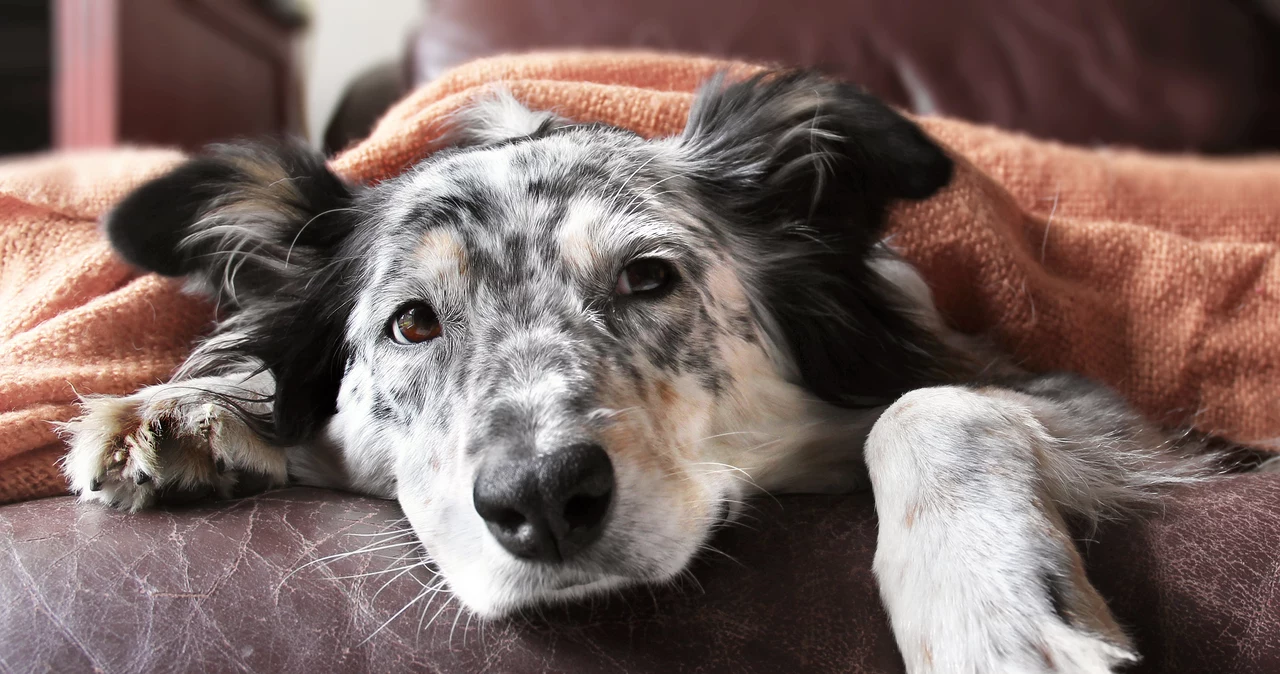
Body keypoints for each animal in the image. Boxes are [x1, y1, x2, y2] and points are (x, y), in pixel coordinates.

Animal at [60, 71, 1218, 670]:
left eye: (649, 276)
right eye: (412, 324)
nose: (540, 500)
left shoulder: (1078, 402)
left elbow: (935, 406)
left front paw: (990, 612)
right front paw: (189, 409)